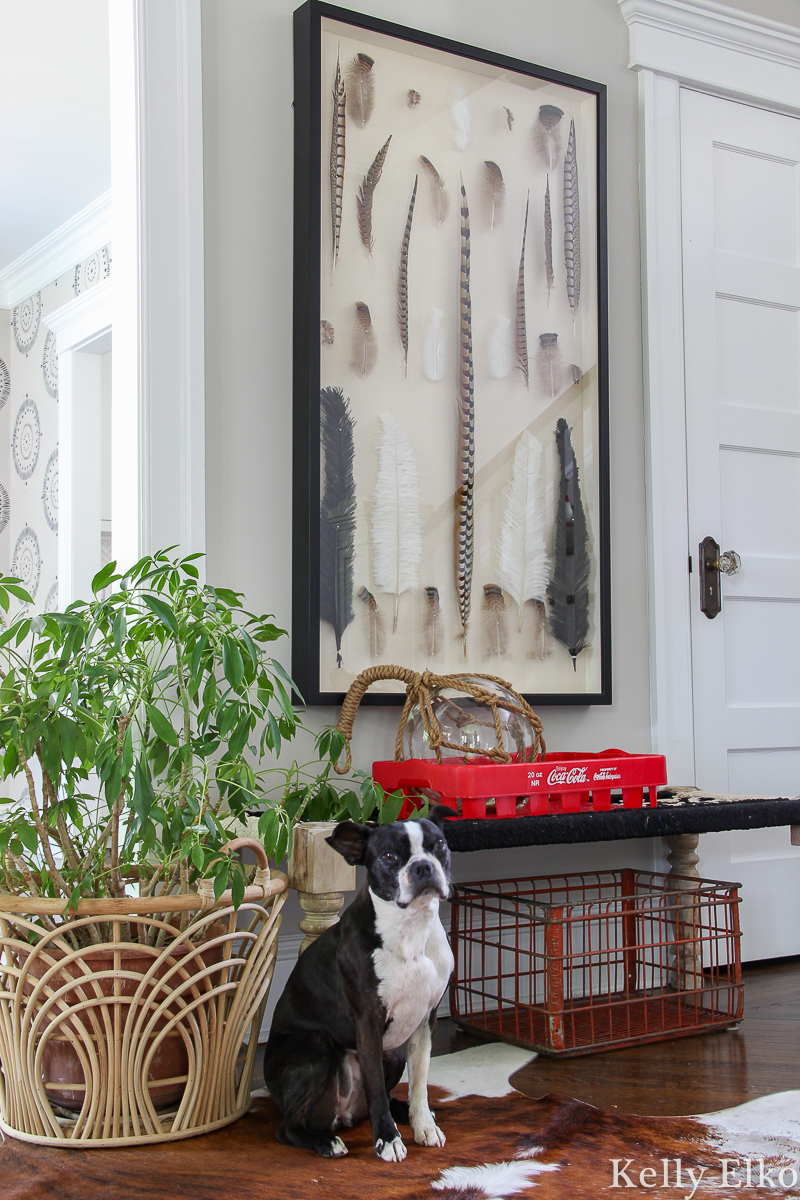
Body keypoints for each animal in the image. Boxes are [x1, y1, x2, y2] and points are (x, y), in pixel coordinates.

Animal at [261, 806, 450, 1161]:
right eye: (390, 856)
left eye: (440, 846)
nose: (423, 866)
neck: (410, 929)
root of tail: (341, 1115)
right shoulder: (368, 1024)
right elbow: (375, 1088)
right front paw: (389, 1140)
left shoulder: (424, 1021)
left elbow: (419, 1084)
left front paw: (424, 1126)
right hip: (314, 1045)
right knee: (287, 1129)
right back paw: (325, 1142)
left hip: (394, 1053)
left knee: (390, 1095)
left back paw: (407, 1113)